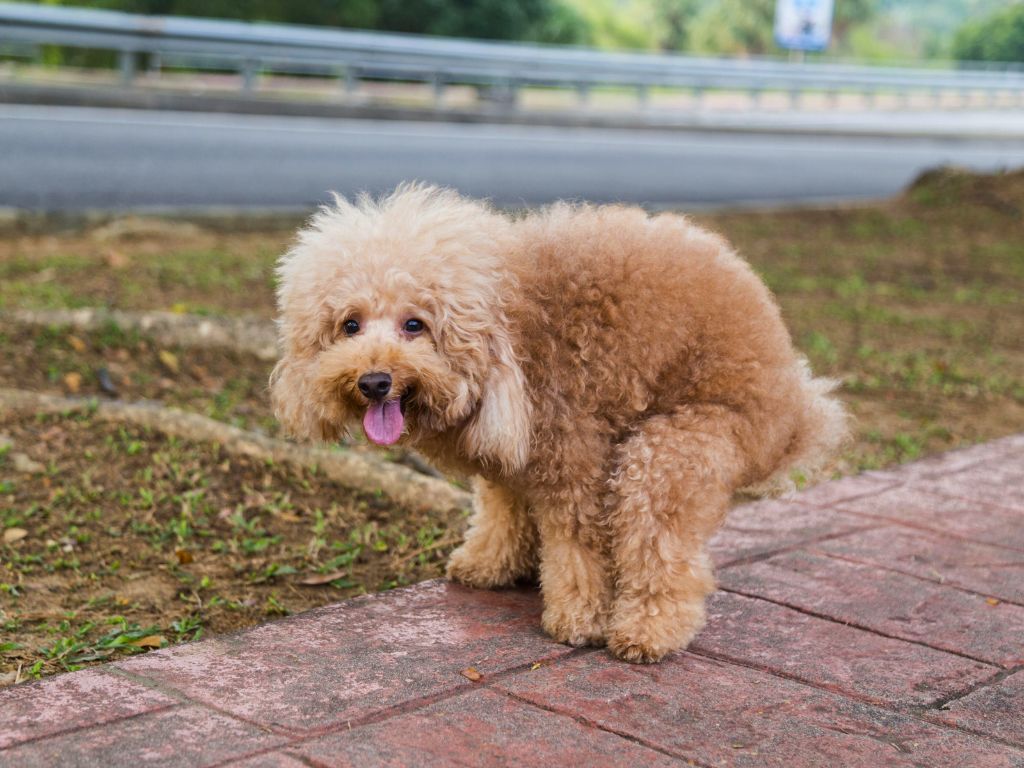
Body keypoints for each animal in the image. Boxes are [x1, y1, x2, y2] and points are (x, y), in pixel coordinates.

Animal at [272, 183, 847, 663]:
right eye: (350, 325)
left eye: (415, 325)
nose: (374, 381)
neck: (511, 322)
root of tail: (796, 410)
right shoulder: (508, 454)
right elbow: (503, 508)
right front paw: (490, 564)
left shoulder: (573, 455)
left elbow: (578, 545)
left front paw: (579, 618)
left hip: (677, 446)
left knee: (659, 542)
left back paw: (646, 631)